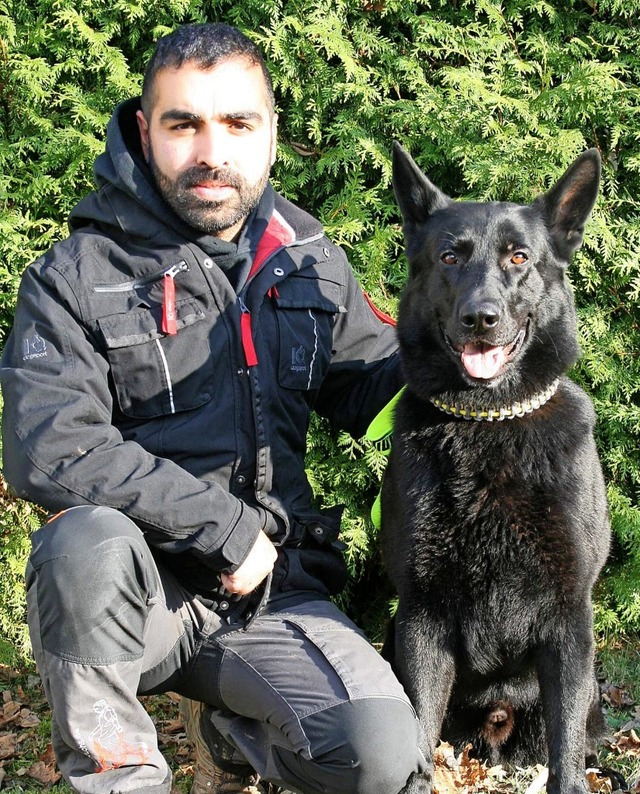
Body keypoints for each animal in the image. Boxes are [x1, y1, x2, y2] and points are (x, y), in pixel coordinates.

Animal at [382, 145, 612, 792]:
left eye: (519, 256)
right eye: (450, 256)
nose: (480, 318)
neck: (490, 424)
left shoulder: (568, 621)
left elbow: (565, 755)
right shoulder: (421, 617)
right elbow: (416, 728)